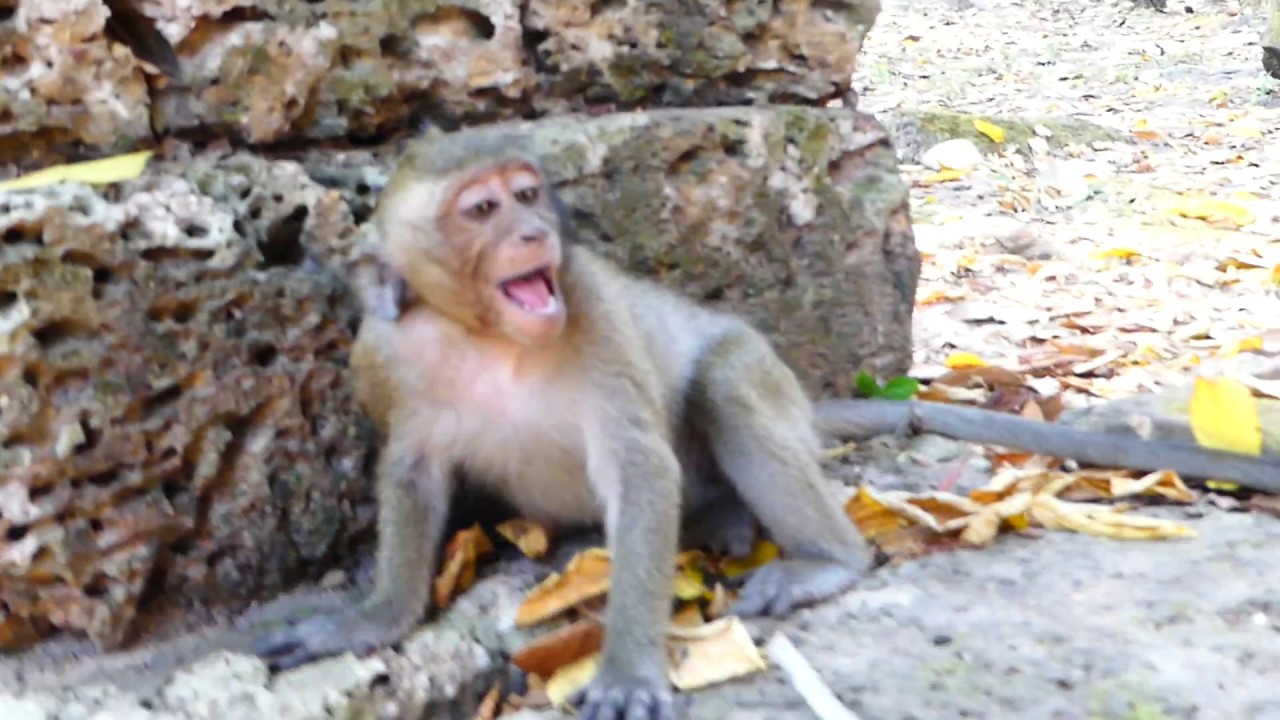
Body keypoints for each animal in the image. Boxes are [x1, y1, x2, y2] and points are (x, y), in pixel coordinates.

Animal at [253, 128, 876, 720]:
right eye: (484, 209)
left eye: (527, 196)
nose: (534, 232)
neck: (490, 338)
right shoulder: (381, 352)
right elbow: (412, 474)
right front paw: (375, 616)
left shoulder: (592, 303)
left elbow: (638, 468)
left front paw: (628, 672)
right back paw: (724, 518)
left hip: (768, 381)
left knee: (724, 381)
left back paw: (827, 561)